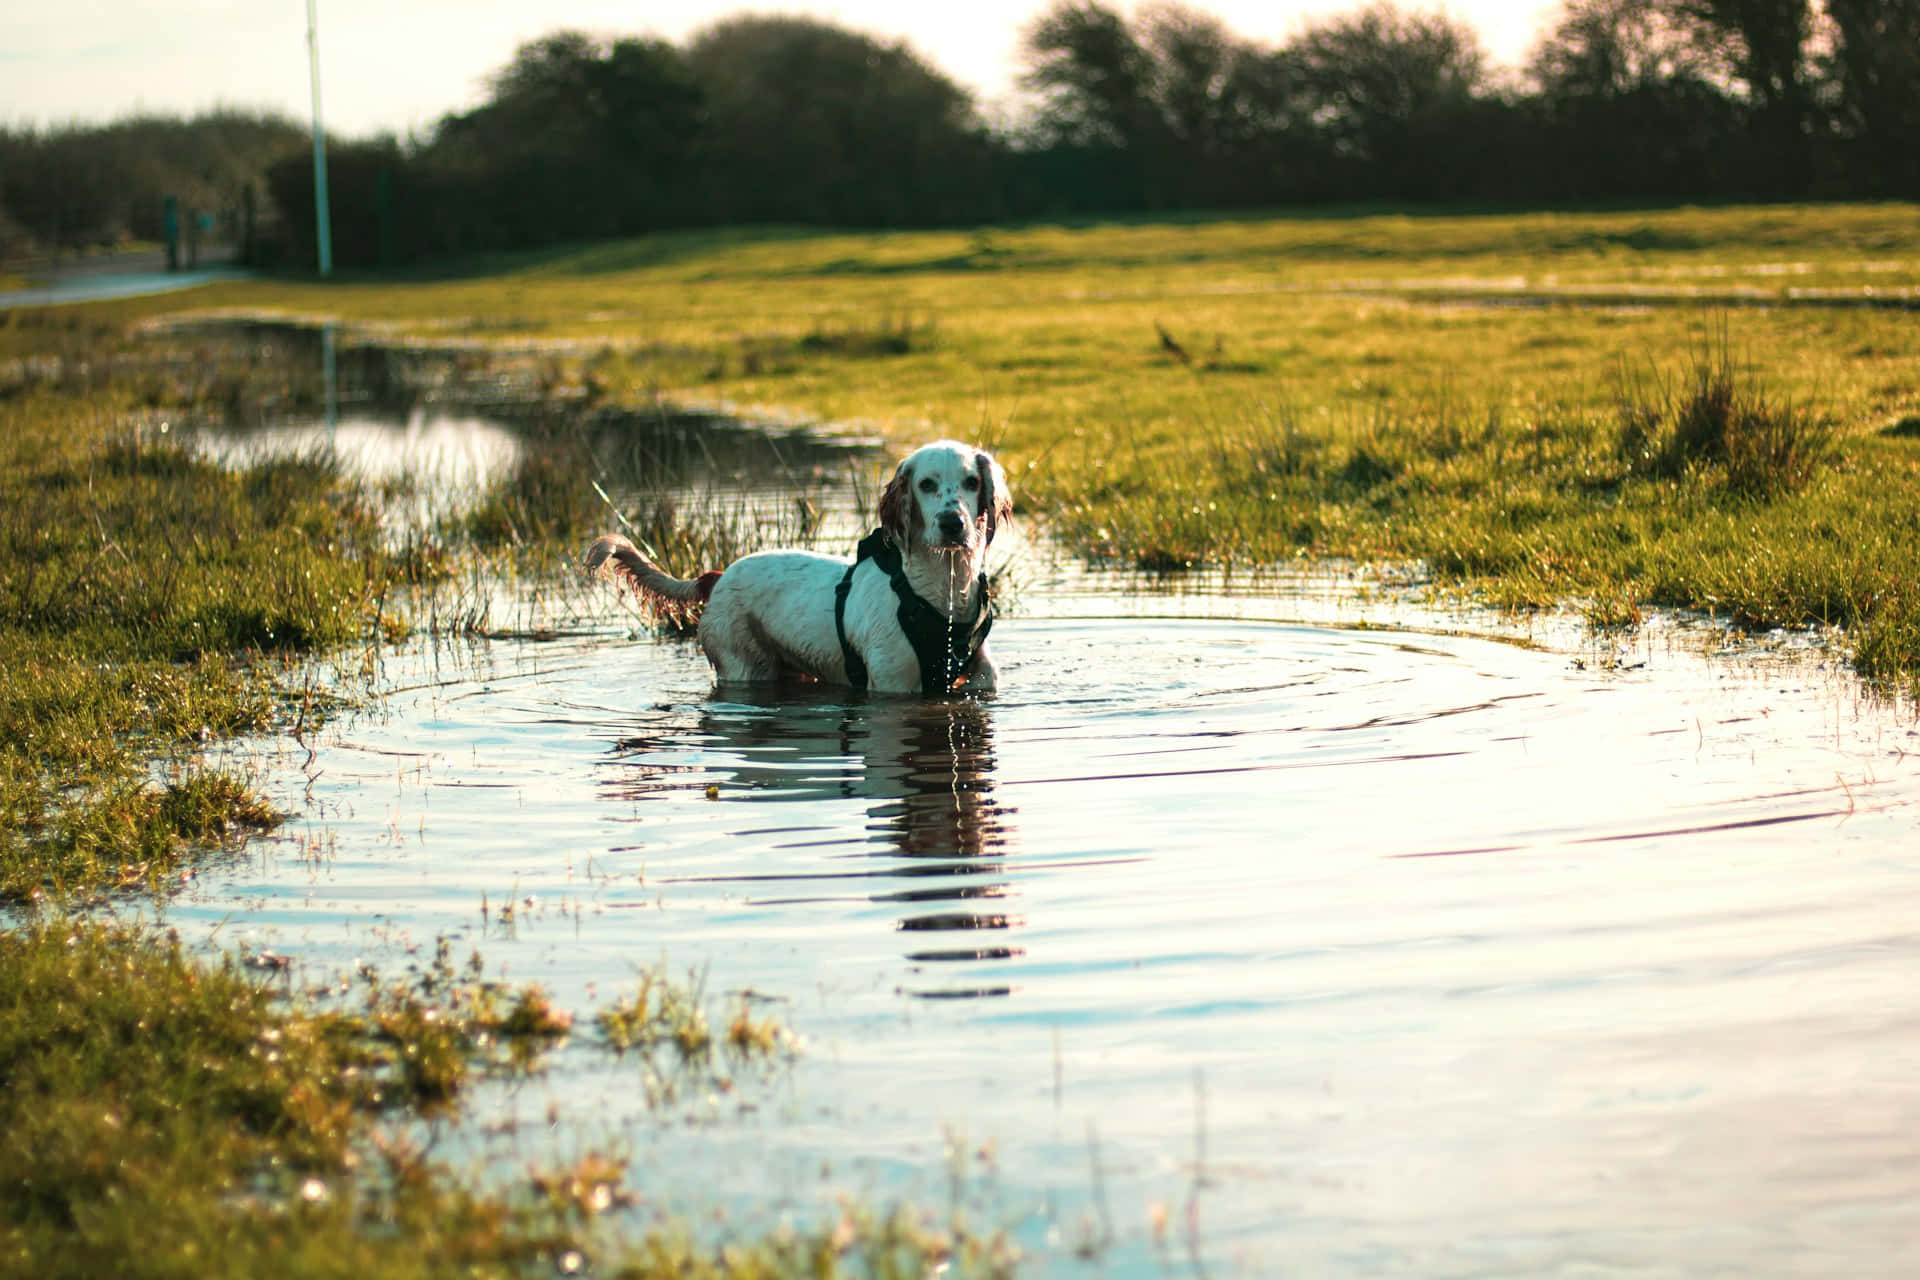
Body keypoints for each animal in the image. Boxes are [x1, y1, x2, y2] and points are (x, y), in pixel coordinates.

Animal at [579, 443, 1006, 702]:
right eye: (926, 484)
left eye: (971, 482)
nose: (953, 524)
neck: (939, 594)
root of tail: (717, 577)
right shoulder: (893, 685)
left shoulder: (980, 679)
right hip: (746, 668)